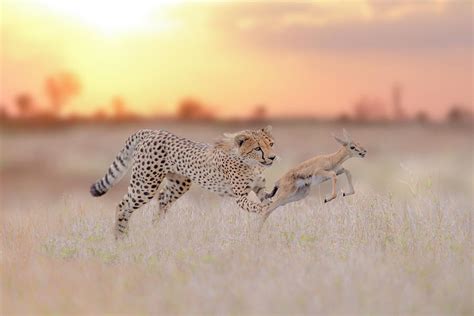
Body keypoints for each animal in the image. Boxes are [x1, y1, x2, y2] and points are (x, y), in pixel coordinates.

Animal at [89, 126, 276, 239]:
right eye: (258, 148)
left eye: (271, 144)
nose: (272, 157)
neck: (251, 163)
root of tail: (151, 131)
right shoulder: (240, 197)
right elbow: (256, 205)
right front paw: (266, 209)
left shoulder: (260, 188)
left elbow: (268, 198)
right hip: (145, 184)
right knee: (123, 205)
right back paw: (120, 238)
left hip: (180, 183)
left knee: (162, 199)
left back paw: (157, 231)